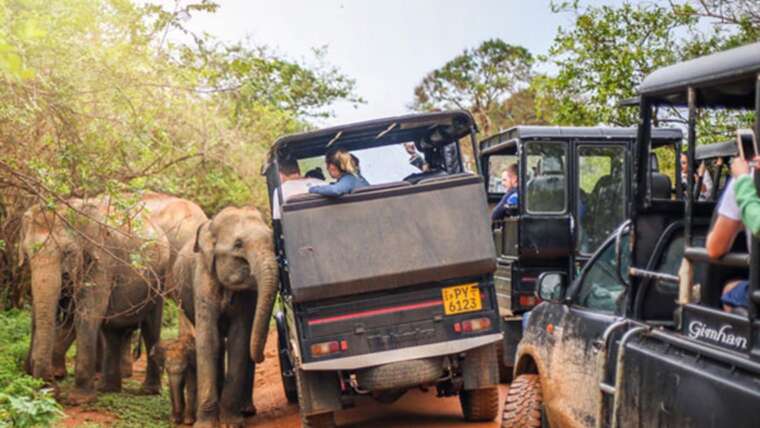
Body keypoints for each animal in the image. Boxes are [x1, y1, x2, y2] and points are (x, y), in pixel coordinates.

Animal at [174, 206, 278, 426]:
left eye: (273, 239)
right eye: (238, 245)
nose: (263, 356)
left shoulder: (246, 297)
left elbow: (239, 339)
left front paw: (231, 423)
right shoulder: (202, 280)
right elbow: (209, 340)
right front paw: (206, 424)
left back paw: (246, 410)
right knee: (219, 343)